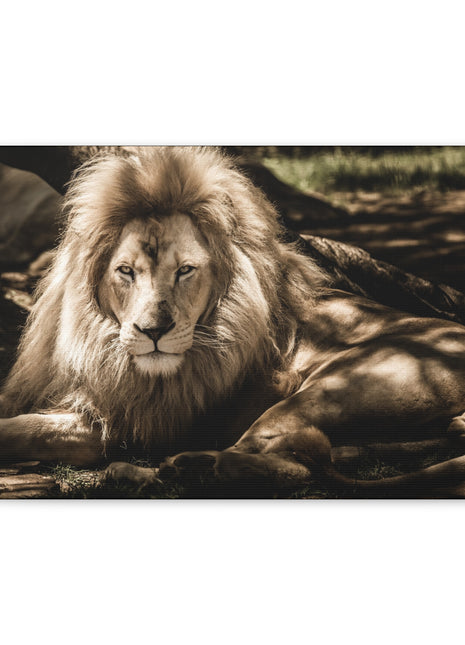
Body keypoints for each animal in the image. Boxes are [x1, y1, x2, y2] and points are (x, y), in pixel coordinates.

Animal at [3, 145, 465, 496]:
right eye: (126, 271)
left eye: (185, 271)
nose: (153, 332)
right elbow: (26, 423)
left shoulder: (140, 420)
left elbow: (21, 429)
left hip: (330, 388)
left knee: (292, 466)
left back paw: (168, 469)